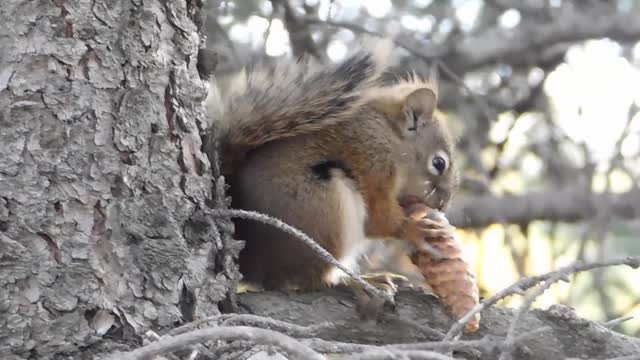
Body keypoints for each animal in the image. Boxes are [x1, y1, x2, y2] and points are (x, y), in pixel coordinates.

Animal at [202, 38, 458, 304]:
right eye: (439, 163)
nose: (443, 205)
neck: (389, 137)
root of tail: (255, 266)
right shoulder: (372, 161)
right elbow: (379, 219)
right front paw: (416, 230)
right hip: (324, 210)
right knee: (313, 280)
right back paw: (360, 281)